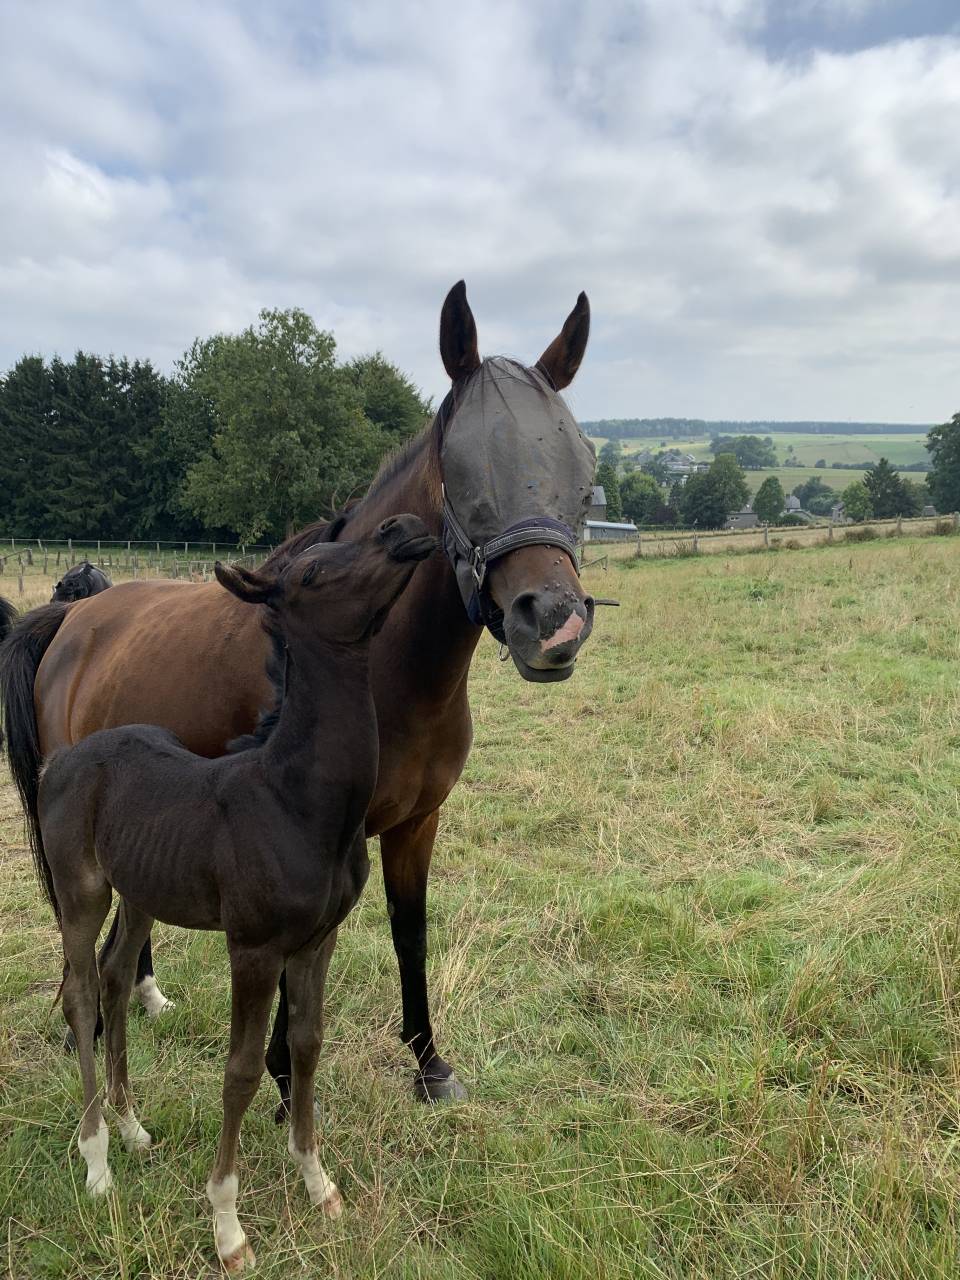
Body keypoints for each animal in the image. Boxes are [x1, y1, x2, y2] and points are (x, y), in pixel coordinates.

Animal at [0, 281, 596, 1107]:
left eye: (582, 467)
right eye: (464, 470)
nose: (555, 623)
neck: (388, 674)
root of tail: (71, 616)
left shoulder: (417, 825)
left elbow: (410, 932)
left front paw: (429, 1064)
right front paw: (284, 1080)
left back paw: (144, 995)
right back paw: (78, 1026)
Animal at [38, 515, 437, 1272]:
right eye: (312, 572)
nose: (406, 530)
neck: (298, 798)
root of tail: (64, 760)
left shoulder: (317, 941)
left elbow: (307, 1044)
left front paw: (318, 1184)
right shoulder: (253, 948)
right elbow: (242, 1070)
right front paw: (228, 1227)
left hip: (142, 893)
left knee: (115, 976)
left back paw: (131, 1129)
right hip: (82, 893)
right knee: (81, 994)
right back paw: (97, 1159)